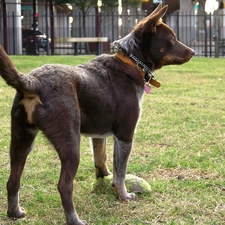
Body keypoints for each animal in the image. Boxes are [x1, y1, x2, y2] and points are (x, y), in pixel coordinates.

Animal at [0, 3, 193, 225]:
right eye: (172, 40)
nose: (193, 51)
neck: (130, 61)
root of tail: (34, 82)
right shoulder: (125, 135)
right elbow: (120, 172)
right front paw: (123, 195)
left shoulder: (98, 135)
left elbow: (102, 160)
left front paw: (104, 177)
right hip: (70, 144)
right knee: (64, 185)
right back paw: (74, 219)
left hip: (21, 141)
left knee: (13, 180)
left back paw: (14, 212)